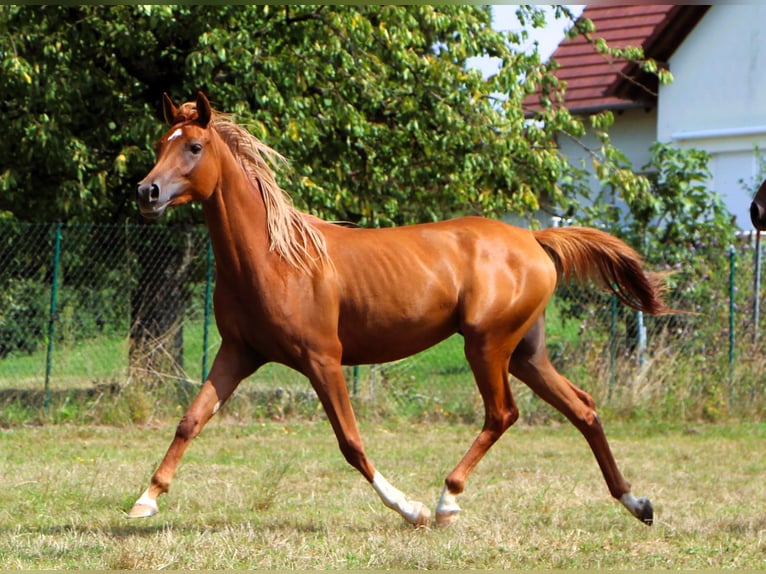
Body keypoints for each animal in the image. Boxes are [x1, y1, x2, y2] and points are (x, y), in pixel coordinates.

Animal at [130, 91, 672, 527]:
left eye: (194, 147)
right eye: (159, 145)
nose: (146, 192)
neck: (275, 258)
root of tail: (534, 239)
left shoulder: (322, 360)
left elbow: (350, 442)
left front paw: (409, 509)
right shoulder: (239, 353)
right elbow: (190, 420)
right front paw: (146, 499)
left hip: (487, 345)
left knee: (502, 414)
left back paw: (446, 501)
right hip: (526, 353)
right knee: (583, 408)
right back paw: (637, 504)